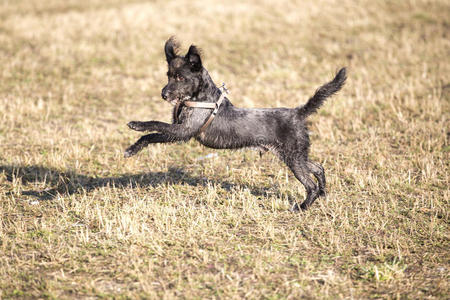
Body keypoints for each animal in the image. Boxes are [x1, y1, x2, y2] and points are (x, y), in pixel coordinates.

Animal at [125, 38, 346, 211]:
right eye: (168, 76)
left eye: (180, 77)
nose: (163, 94)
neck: (199, 97)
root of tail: (298, 112)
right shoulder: (178, 129)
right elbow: (156, 129)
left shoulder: (182, 131)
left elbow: (153, 129)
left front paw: (135, 133)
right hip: (296, 154)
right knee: (318, 168)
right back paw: (323, 193)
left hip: (293, 157)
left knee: (310, 184)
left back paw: (302, 207)